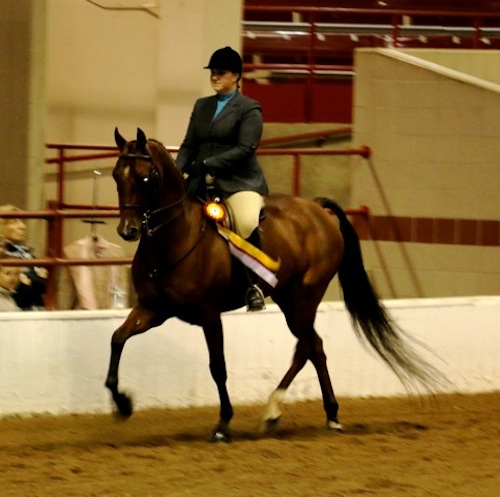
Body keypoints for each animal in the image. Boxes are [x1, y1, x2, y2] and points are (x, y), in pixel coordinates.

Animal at [105, 128, 442, 442]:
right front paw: (123, 404)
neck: (174, 238)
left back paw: (278, 411)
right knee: (314, 347)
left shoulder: (209, 315)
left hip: (305, 297)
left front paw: (223, 425)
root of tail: (317, 209)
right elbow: (117, 339)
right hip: (287, 298)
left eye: (146, 178)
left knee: (307, 346)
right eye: (116, 176)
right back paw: (324, 415)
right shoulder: (153, 309)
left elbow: (218, 368)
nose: (128, 230)